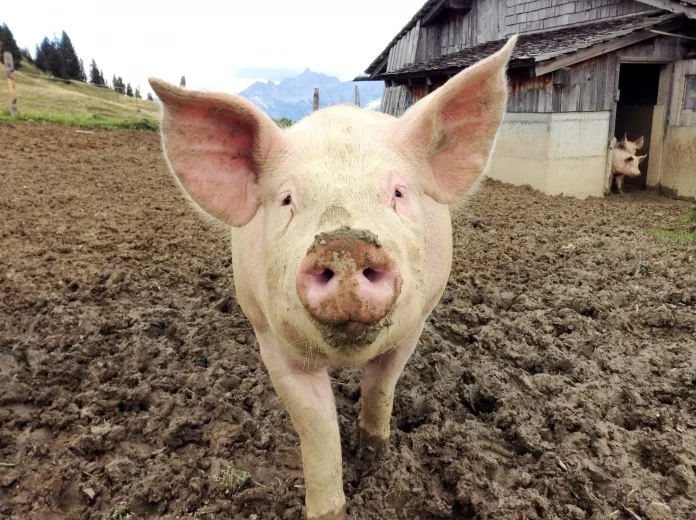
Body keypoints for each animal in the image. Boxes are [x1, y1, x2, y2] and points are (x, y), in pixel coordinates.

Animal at [148, 35, 517, 519]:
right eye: (287, 199)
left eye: (398, 192)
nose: (345, 244)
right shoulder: (273, 341)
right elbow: (317, 430)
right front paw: (330, 508)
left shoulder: (413, 325)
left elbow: (381, 386)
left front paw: (375, 457)